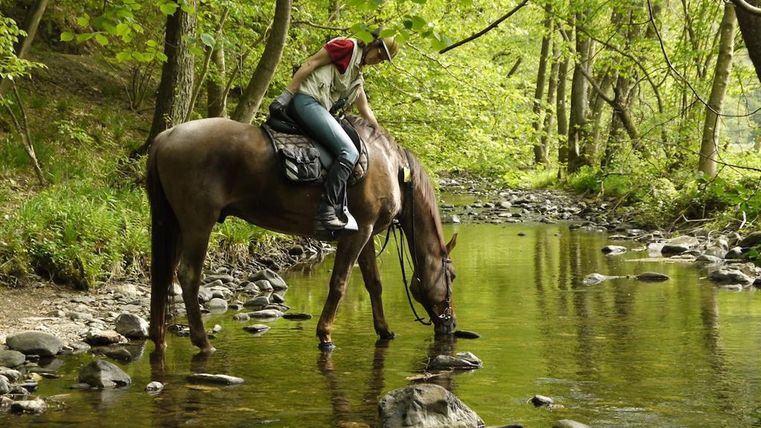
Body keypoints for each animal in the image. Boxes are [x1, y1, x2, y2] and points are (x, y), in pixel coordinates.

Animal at [146, 116, 457, 352]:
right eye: (452, 276)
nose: (451, 324)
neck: (394, 169)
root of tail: (166, 137)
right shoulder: (356, 234)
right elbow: (340, 283)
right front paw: (325, 334)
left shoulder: (366, 234)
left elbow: (374, 283)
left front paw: (384, 330)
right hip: (197, 224)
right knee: (188, 275)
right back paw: (203, 342)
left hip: (173, 224)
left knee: (164, 276)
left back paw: (159, 339)